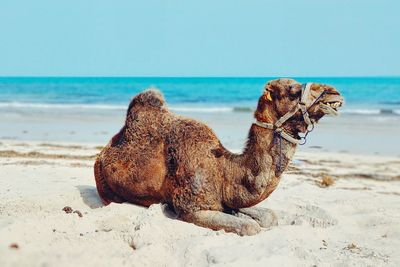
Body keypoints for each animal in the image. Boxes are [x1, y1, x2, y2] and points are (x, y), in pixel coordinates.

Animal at [94, 78, 344, 237]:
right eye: (292, 89)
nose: (335, 93)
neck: (222, 169)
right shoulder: (192, 207)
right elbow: (250, 228)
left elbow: (268, 215)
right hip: (105, 187)